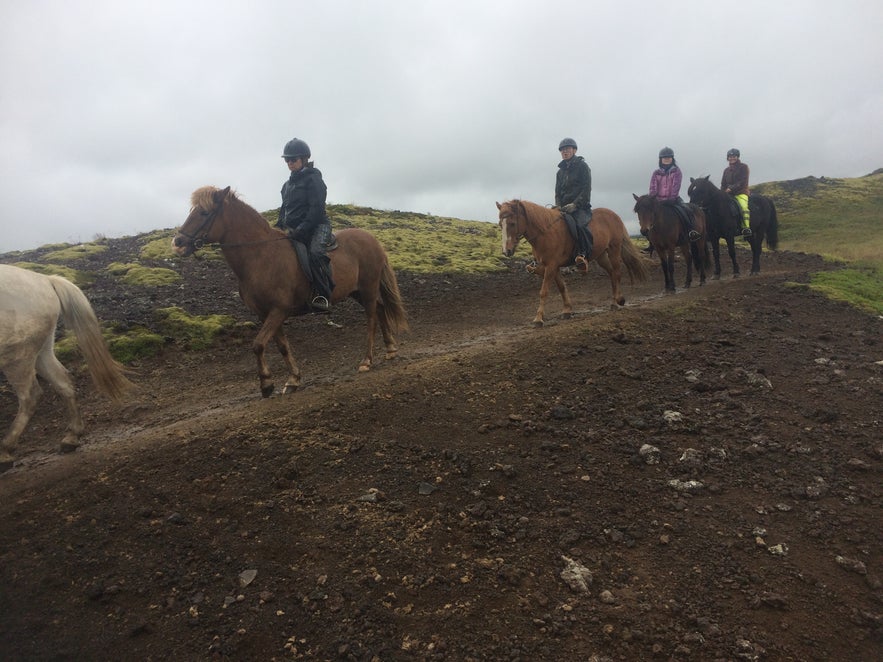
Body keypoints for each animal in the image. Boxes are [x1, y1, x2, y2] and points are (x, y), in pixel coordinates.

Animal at [0, 264, 135, 472]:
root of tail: (45, 280)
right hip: (42, 351)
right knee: (63, 383)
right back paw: (72, 437)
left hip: (17, 358)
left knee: (30, 397)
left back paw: (5, 451)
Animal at [171, 184, 410, 396]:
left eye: (204, 212)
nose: (178, 242)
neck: (260, 255)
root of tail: (372, 239)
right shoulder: (266, 313)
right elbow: (282, 346)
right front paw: (293, 380)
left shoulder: (279, 310)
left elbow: (258, 344)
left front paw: (266, 384)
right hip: (357, 292)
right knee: (380, 309)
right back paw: (391, 349)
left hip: (368, 288)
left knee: (371, 319)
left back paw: (367, 360)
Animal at [498, 201, 648, 328]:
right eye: (500, 225)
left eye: (512, 223)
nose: (507, 251)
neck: (545, 232)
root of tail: (614, 215)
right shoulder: (552, 266)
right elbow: (562, 287)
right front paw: (567, 310)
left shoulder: (551, 266)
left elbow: (543, 292)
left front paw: (538, 319)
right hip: (601, 256)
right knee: (611, 273)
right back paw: (614, 302)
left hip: (614, 249)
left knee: (617, 272)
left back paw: (618, 300)